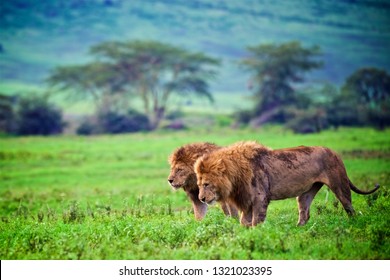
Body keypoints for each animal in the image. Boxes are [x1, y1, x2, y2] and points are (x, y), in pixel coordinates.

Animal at [197, 141, 380, 226]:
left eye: (206, 184)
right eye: (198, 185)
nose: (201, 199)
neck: (235, 176)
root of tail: (334, 152)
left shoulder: (260, 198)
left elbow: (256, 221)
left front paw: (256, 235)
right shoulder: (247, 200)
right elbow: (244, 221)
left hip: (339, 184)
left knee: (349, 207)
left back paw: (353, 224)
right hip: (306, 193)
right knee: (305, 214)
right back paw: (297, 230)